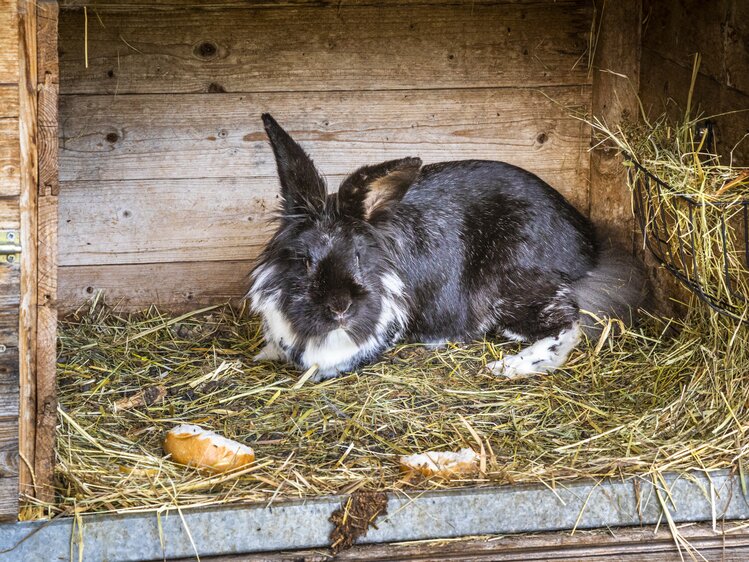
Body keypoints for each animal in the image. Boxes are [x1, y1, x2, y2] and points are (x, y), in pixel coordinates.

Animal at [248, 111, 644, 378]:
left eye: (359, 257)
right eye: (305, 261)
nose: (340, 308)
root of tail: (588, 250)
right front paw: (264, 354)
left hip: (511, 284)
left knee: (568, 321)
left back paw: (507, 366)